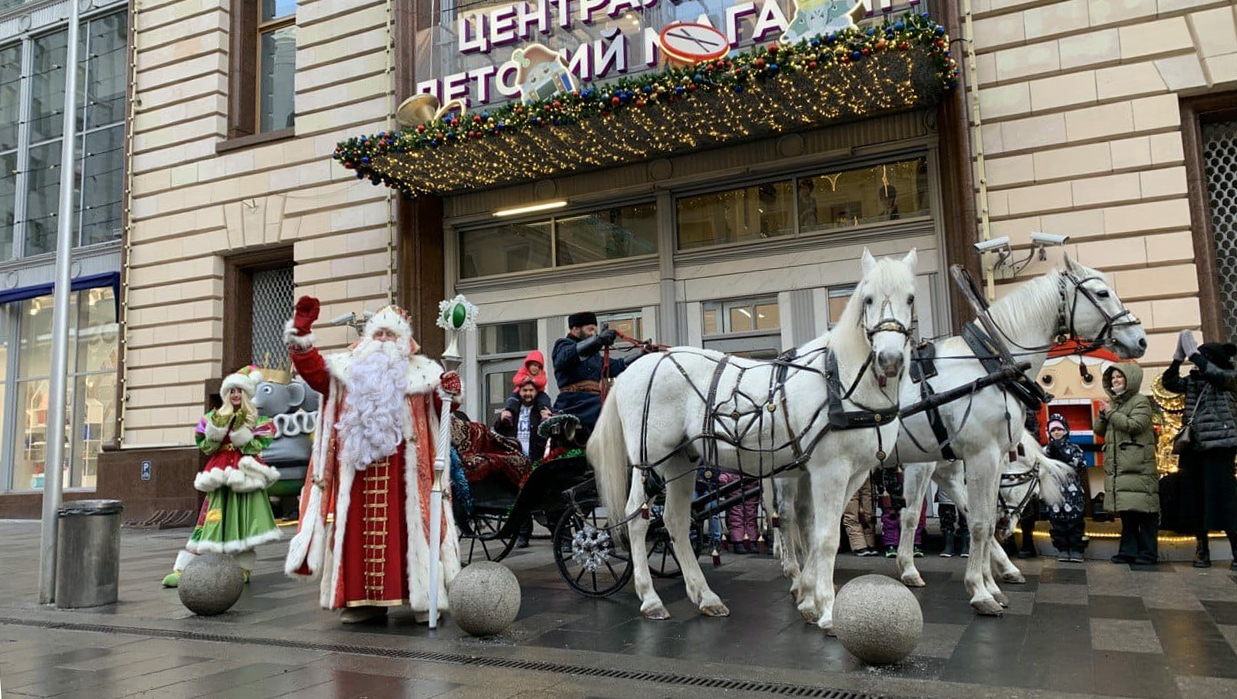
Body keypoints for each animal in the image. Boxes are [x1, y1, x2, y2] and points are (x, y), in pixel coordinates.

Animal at [588, 247, 920, 628]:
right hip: (650, 461)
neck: (842, 380)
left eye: (910, 298)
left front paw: (807, 597)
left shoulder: (851, 474)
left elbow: (813, 532)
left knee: (674, 521)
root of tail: (632, 369)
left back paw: (705, 596)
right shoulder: (830, 470)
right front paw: (826, 607)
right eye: (867, 299)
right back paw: (650, 597)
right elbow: (826, 538)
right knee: (638, 520)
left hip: (680, 462)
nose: (890, 360)